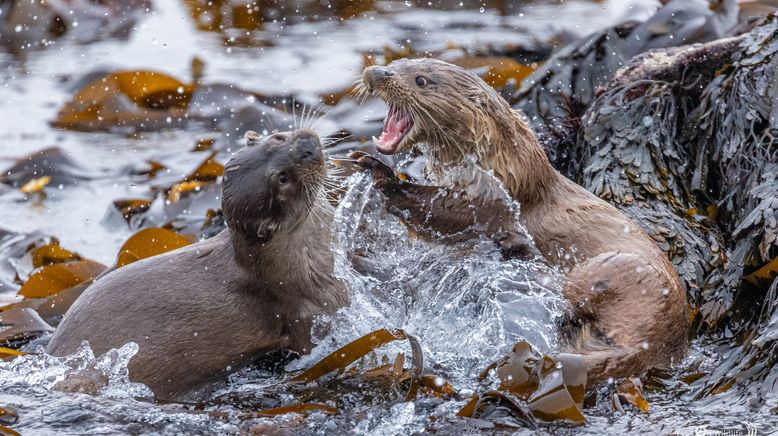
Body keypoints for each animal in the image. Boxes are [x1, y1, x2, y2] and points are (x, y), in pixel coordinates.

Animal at [354, 57, 684, 384]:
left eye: (421, 80)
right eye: (398, 63)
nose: (377, 72)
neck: (507, 168)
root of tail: (656, 341)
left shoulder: (487, 200)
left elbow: (442, 215)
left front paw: (382, 174)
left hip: (622, 270)